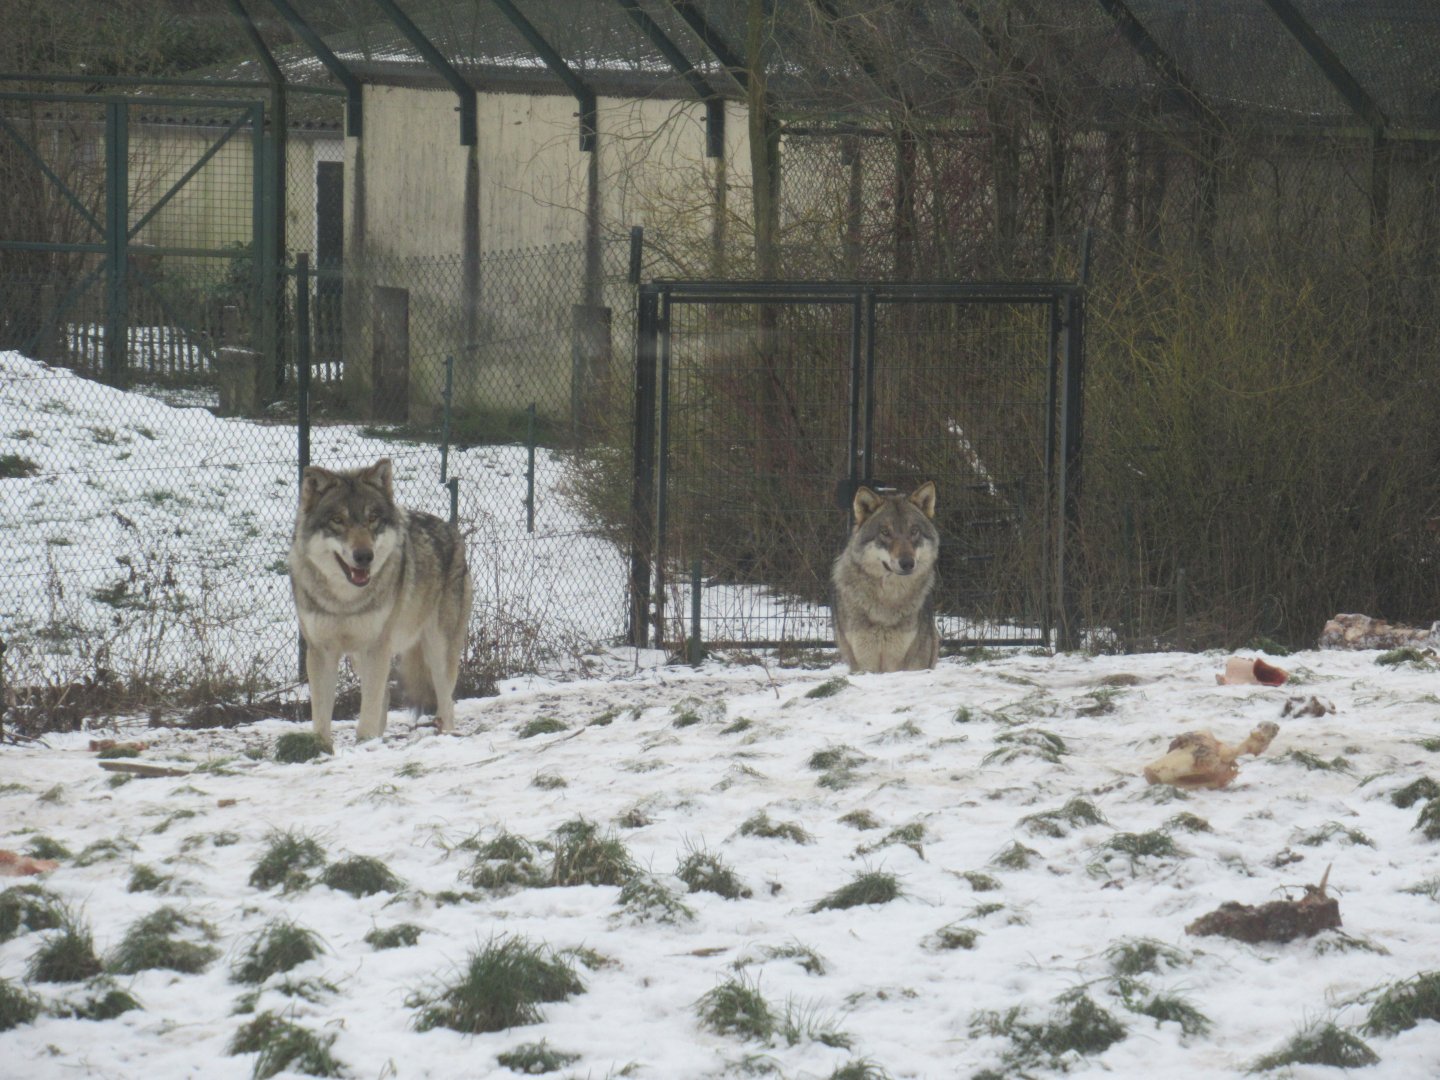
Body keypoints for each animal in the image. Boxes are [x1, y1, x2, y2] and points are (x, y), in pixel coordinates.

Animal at [288, 458, 472, 742]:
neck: (345, 601)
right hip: (359, 656)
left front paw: (365, 743)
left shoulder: (376, 647)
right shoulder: (321, 652)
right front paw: (320, 748)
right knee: (384, 695)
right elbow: (321, 719)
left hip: (438, 653)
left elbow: (367, 715)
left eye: (372, 518)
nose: (364, 556)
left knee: (446, 703)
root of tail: (451, 529)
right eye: (338, 520)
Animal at [831, 482, 940, 673]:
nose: (907, 563)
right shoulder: (864, 663)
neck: (888, 601)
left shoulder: (909, 663)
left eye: (914, 531)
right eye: (885, 532)